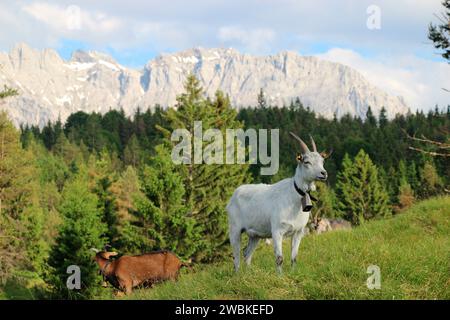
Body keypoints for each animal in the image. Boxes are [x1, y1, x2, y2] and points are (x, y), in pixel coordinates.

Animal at [229, 132, 330, 272]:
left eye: (322, 161)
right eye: (306, 162)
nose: (323, 173)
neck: (293, 197)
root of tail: (234, 195)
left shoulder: (298, 232)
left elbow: (294, 258)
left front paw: (293, 273)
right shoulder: (277, 231)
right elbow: (279, 258)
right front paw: (280, 275)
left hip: (255, 235)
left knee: (247, 253)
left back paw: (248, 273)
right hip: (235, 229)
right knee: (236, 255)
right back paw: (237, 274)